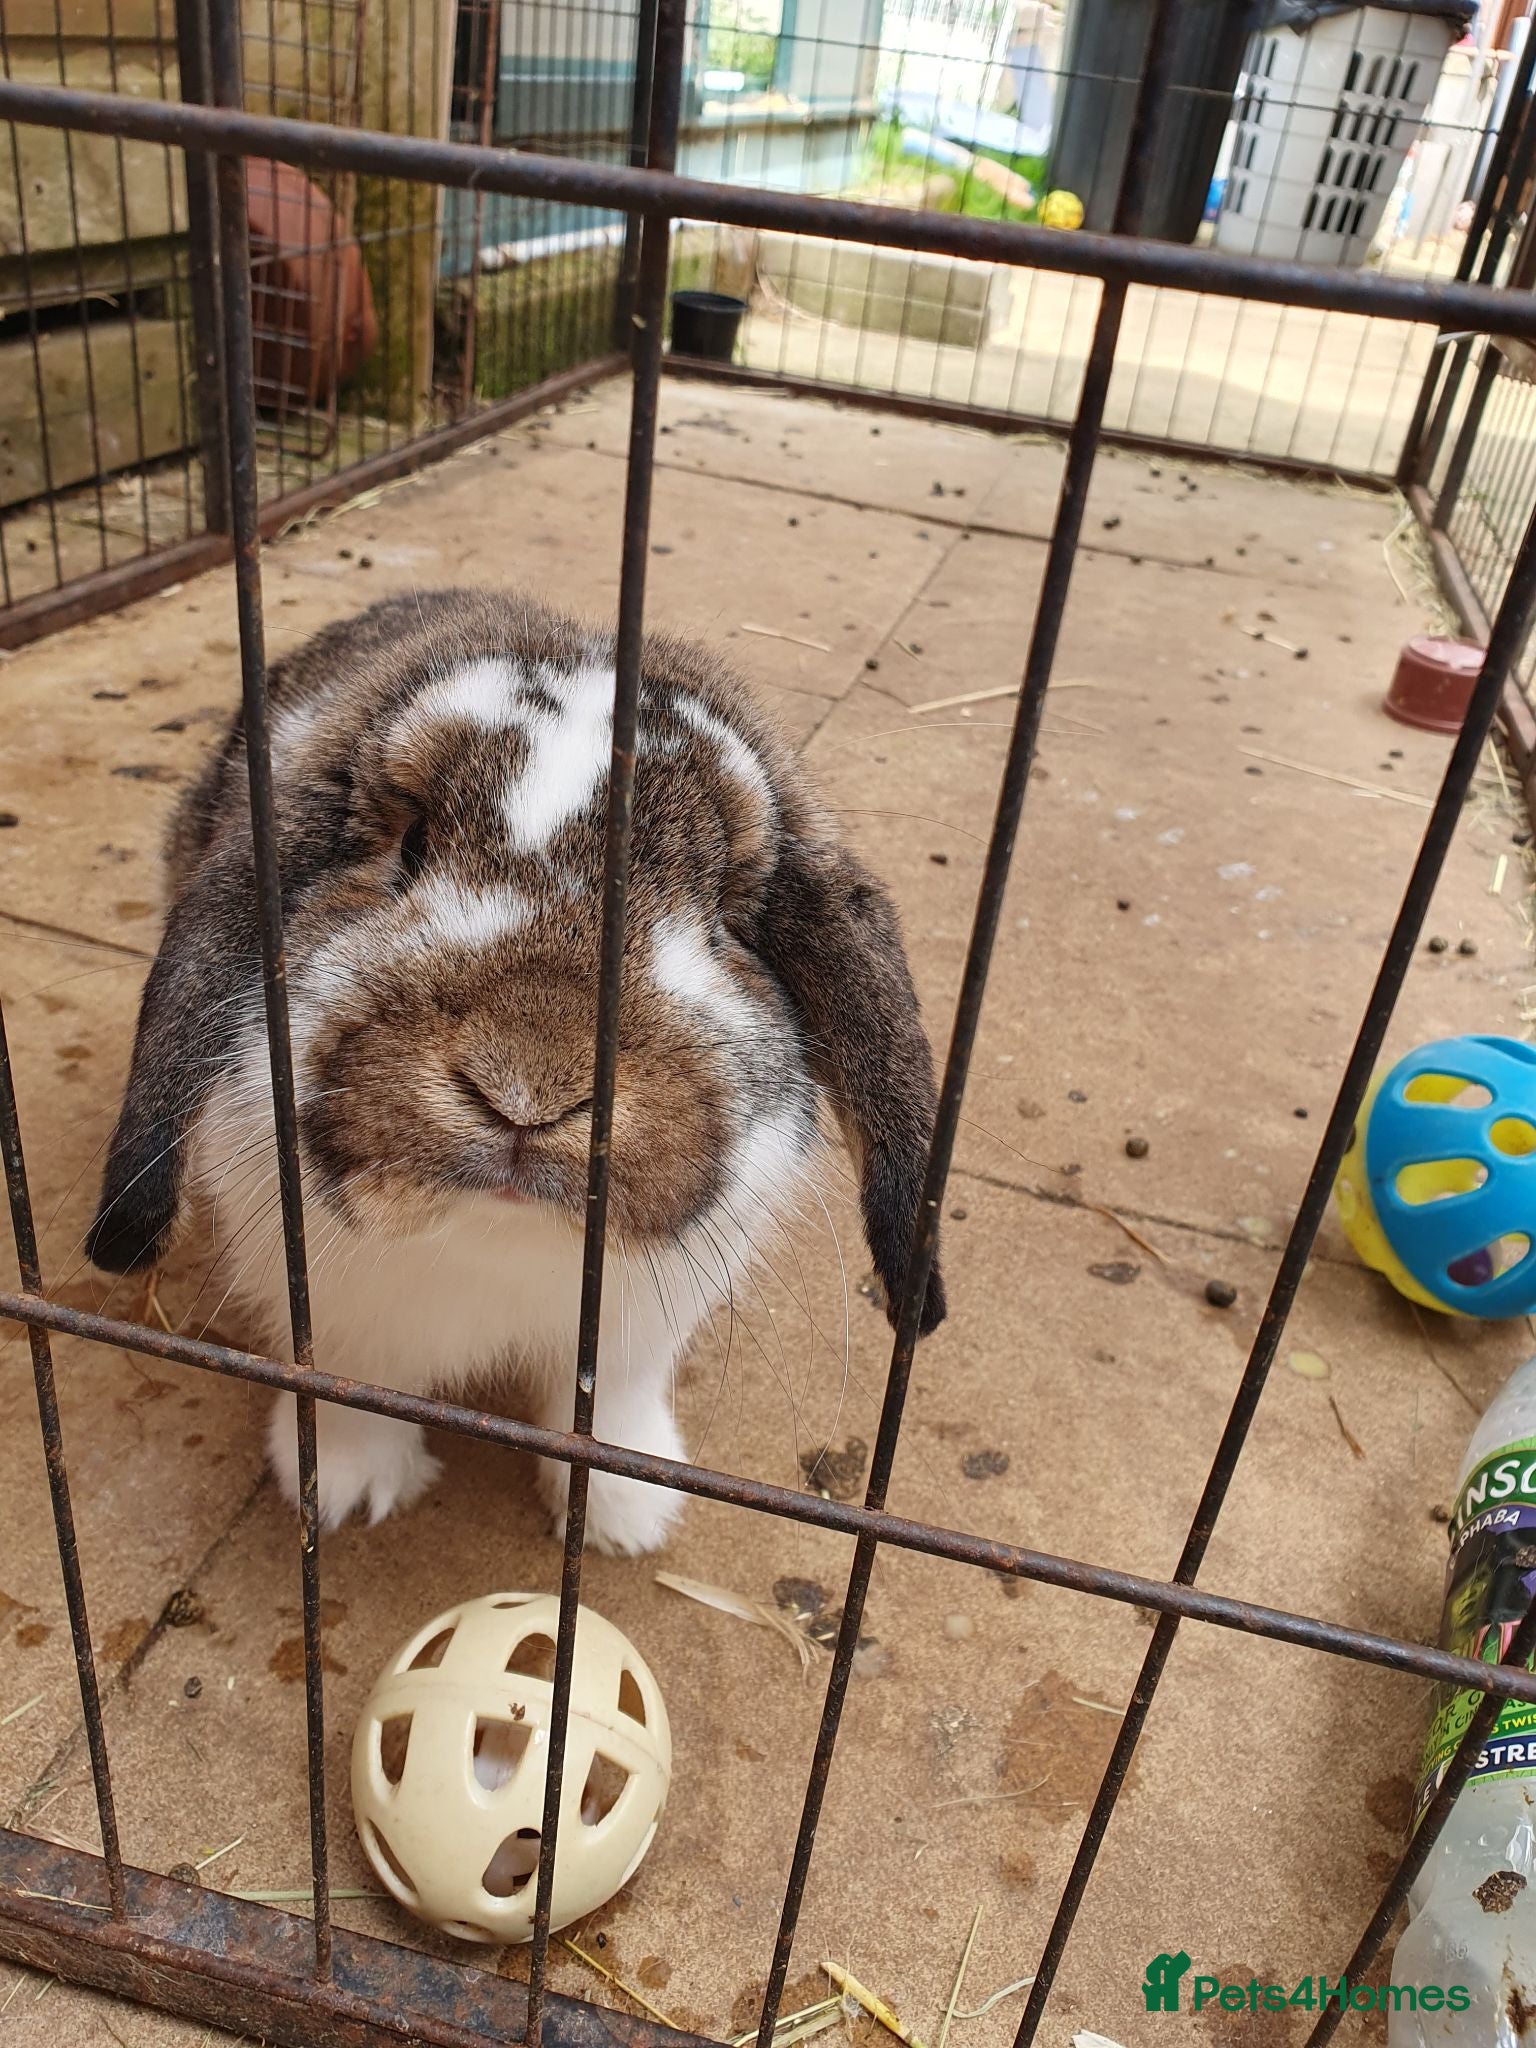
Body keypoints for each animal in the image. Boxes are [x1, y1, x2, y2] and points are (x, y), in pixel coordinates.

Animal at [86, 590, 946, 1555]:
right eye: (408, 845)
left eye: (722, 906)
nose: (526, 1094)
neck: (498, 1238)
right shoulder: (334, 1321)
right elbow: (349, 1390)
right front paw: (349, 1489)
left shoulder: (632, 1340)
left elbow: (610, 1415)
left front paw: (626, 1517)